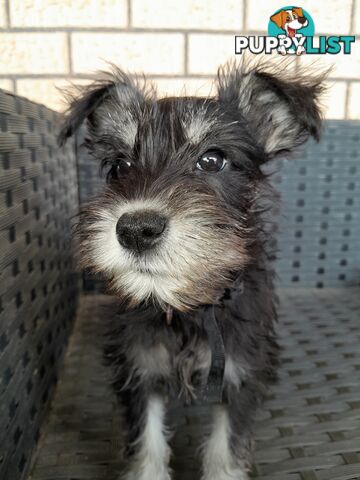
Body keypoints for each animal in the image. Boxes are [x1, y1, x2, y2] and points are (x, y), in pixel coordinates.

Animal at [59, 59, 324, 480]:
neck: (187, 308)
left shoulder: (239, 375)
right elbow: (147, 447)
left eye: (212, 159)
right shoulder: (141, 373)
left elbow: (225, 451)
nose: (135, 230)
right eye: (120, 166)